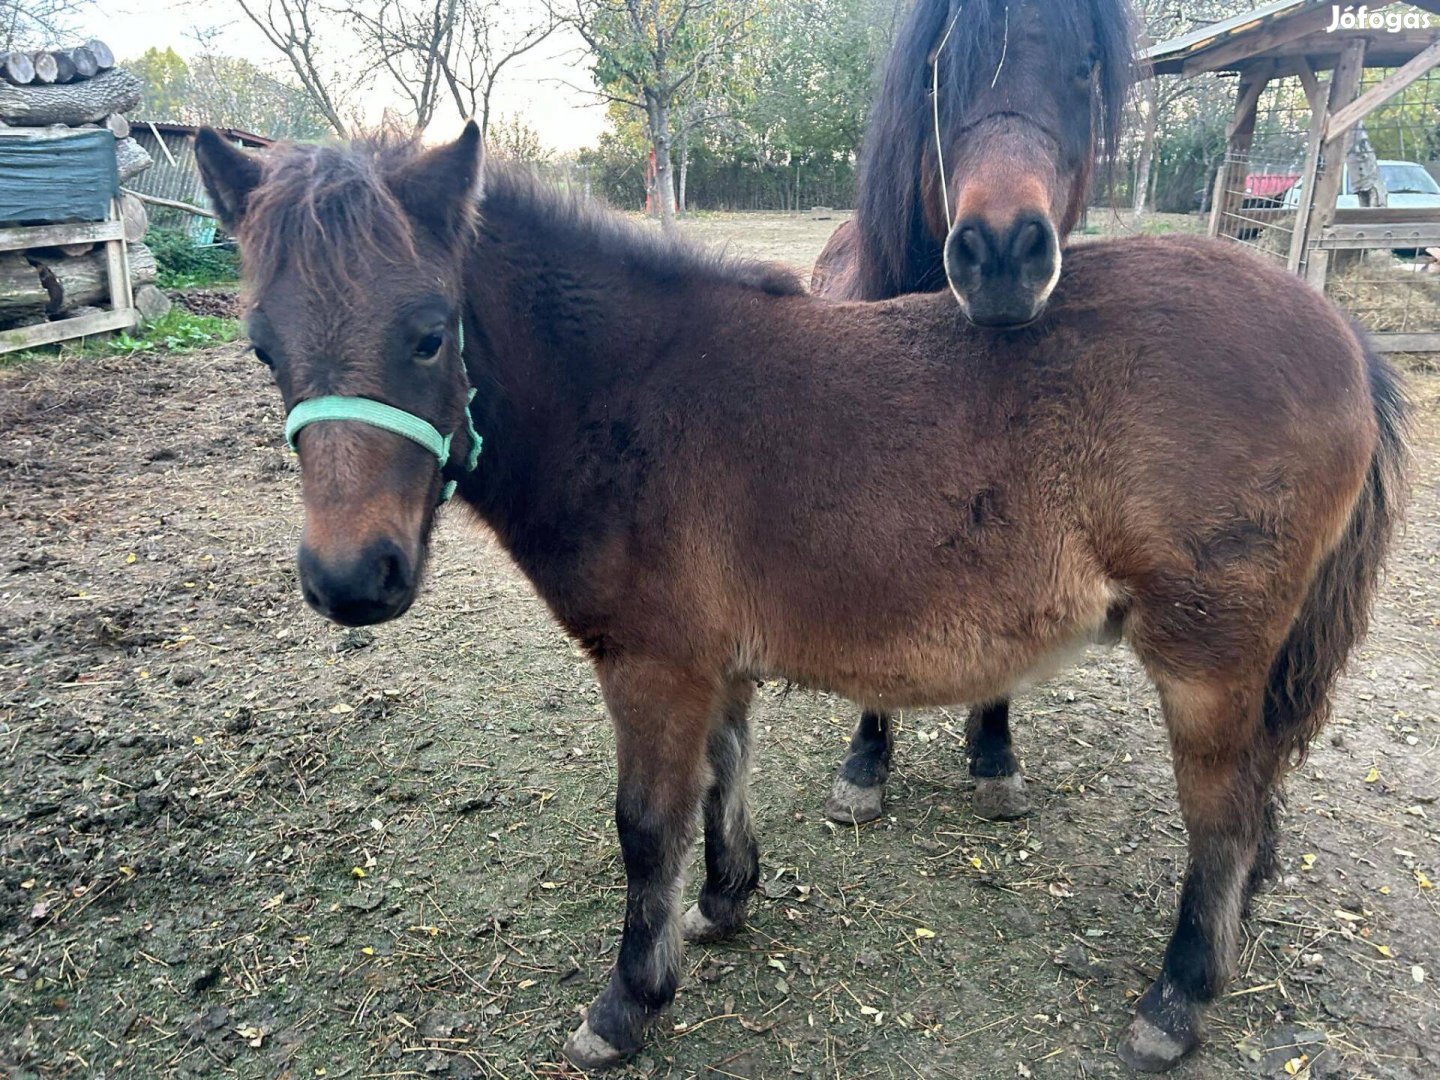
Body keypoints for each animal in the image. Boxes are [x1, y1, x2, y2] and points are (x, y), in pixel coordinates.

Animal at [194, 124, 1405, 1077]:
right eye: (260, 349)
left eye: (430, 331)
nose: (351, 580)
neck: (637, 392)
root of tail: (1342, 333)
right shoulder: (714, 665)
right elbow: (723, 778)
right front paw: (725, 902)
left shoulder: (653, 667)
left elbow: (646, 829)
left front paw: (627, 1002)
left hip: (1208, 656)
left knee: (1222, 813)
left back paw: (1179, 998)